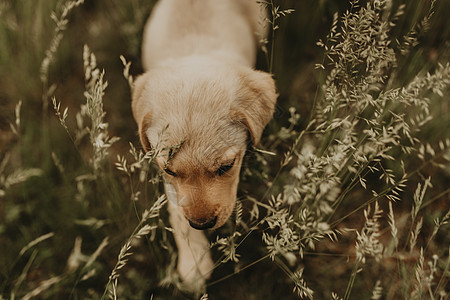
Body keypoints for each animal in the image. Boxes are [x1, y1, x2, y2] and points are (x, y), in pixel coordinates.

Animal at [131, 0, 278, 286]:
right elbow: (177, 213)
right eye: (169, 170)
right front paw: (194, 261)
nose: (201, 224)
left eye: (226, 167)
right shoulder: (170, 182)